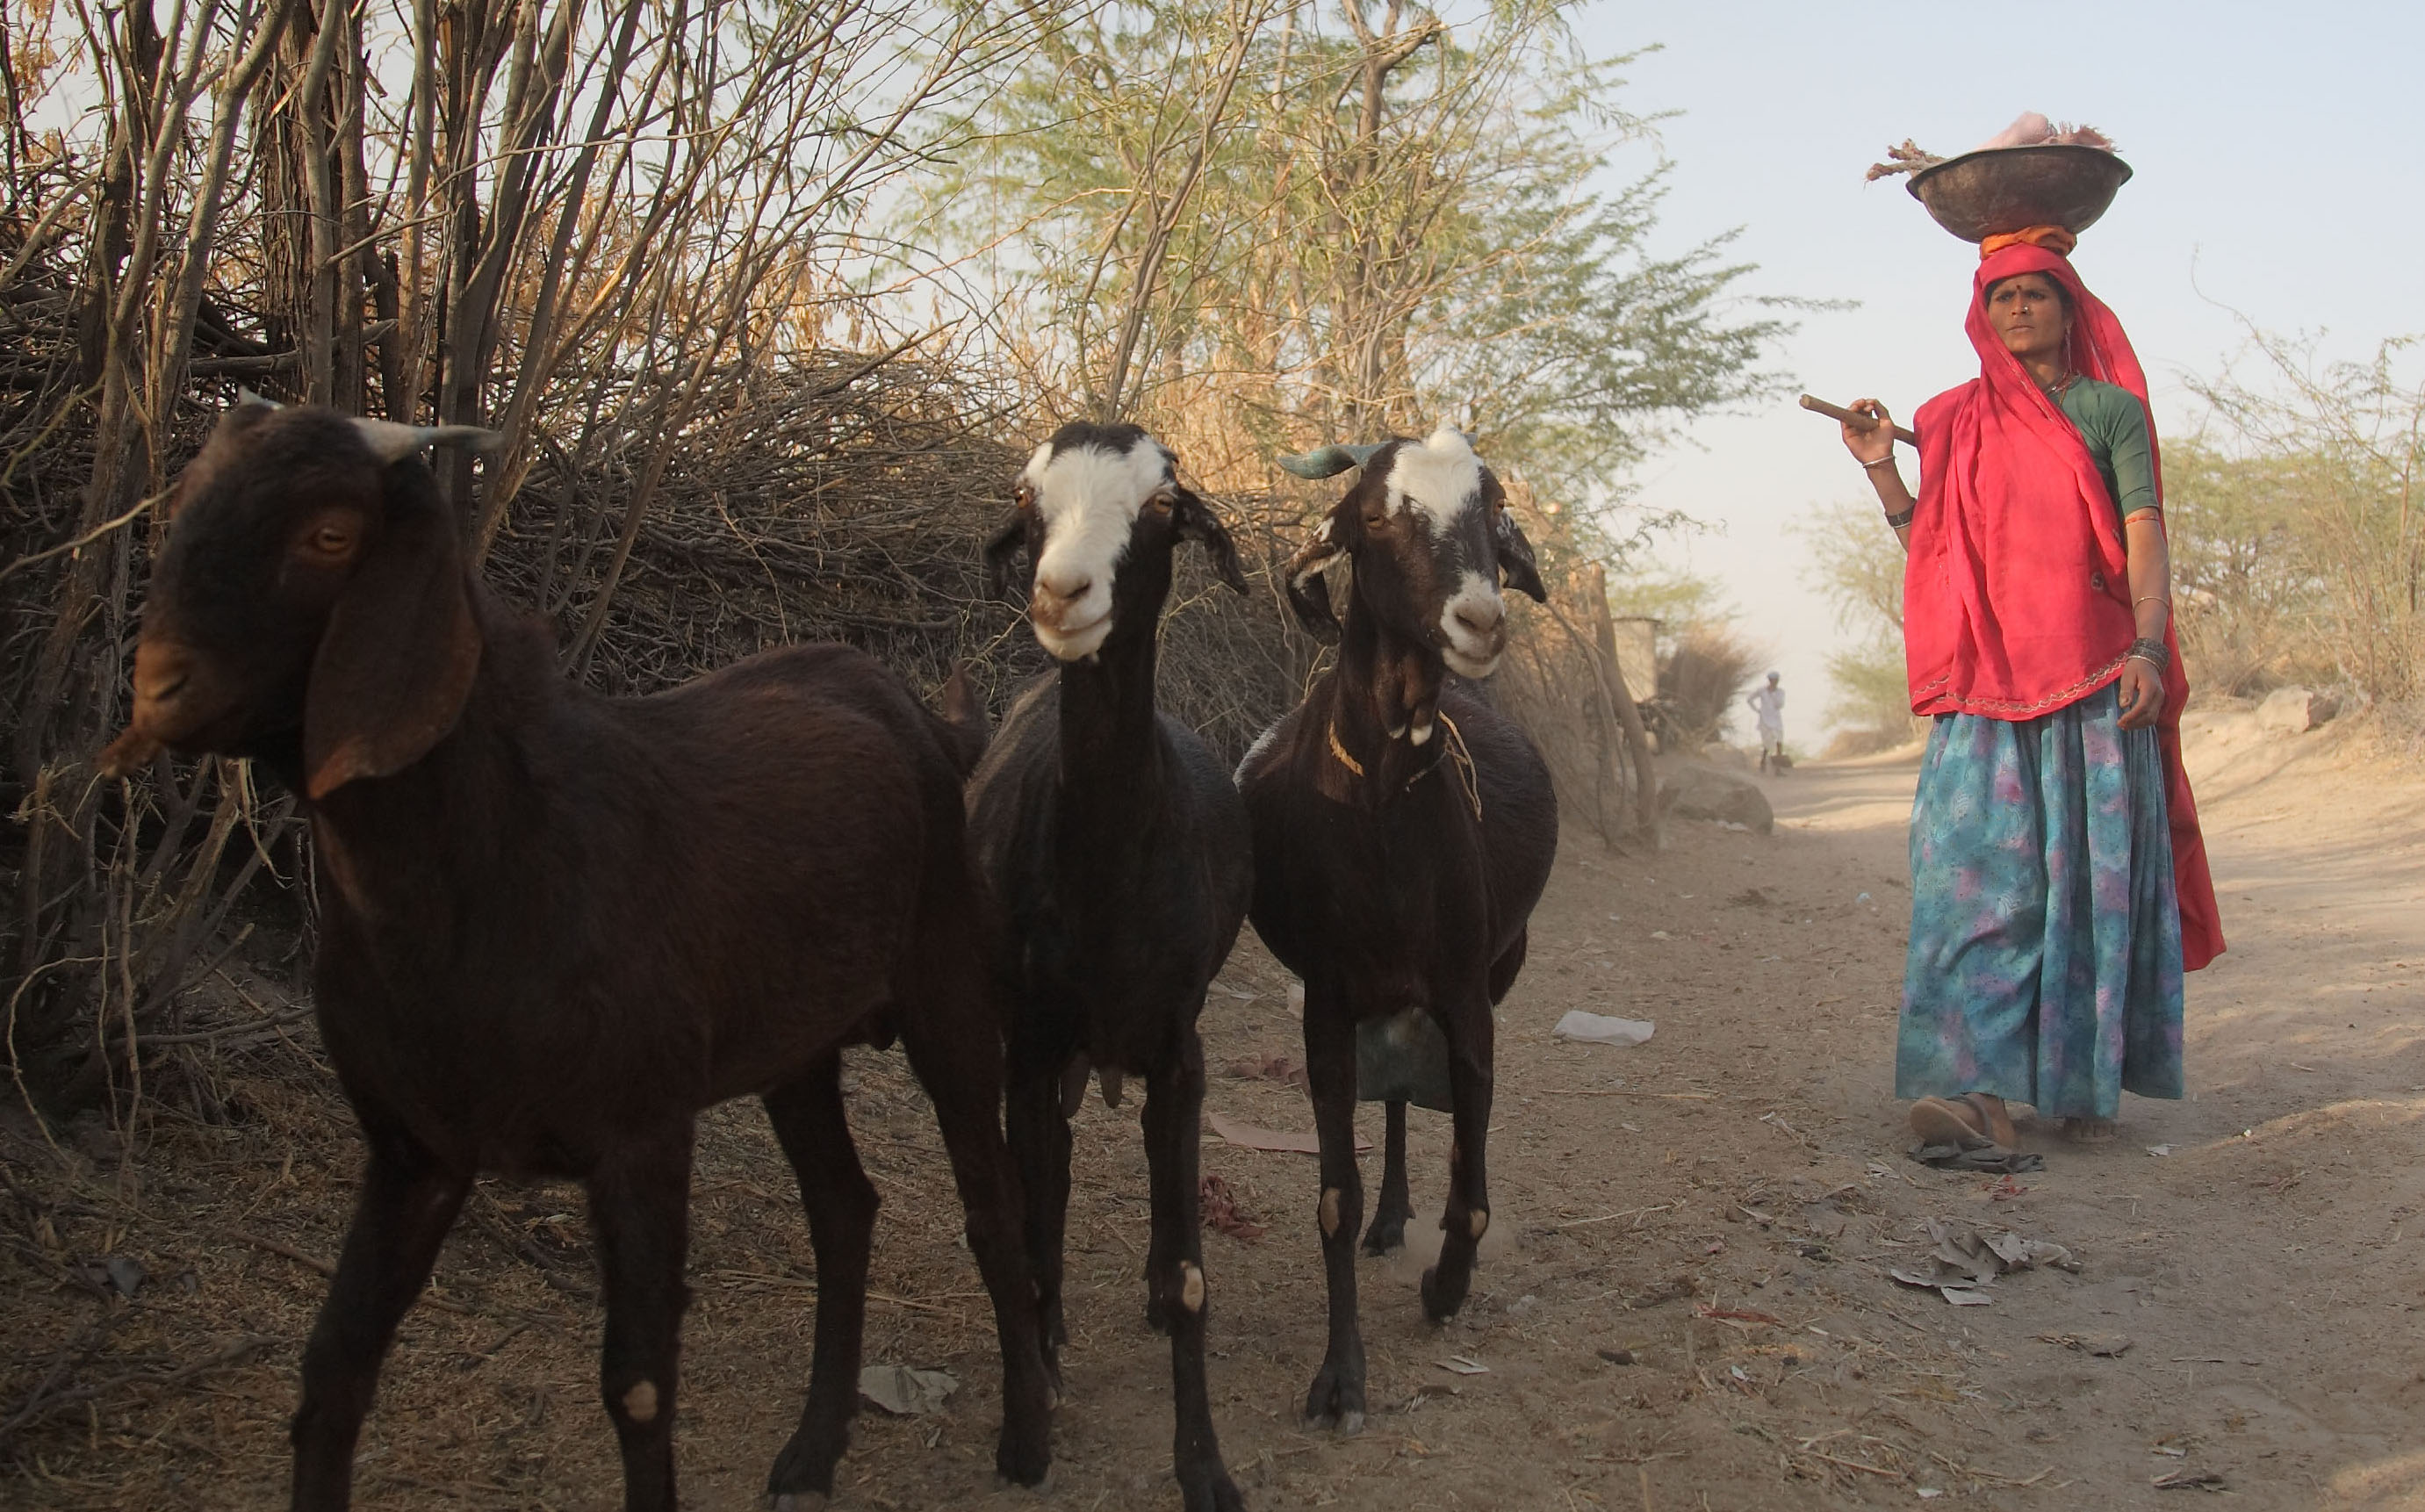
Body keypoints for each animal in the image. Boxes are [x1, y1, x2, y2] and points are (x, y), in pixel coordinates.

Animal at [99, 402, 1047, 1512]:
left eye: (330, 535)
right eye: (183, 502)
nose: (158, 687)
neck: (499, 861)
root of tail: (921, 715)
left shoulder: (640, 1130)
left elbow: (637, 1384)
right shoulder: (414, 1144)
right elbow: (333, 1370)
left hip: (949, 996)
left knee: (991, 1203)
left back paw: (1026, 1436)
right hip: (795, 1048)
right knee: (843, 1208)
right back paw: (812, 1451)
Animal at [969, 421, 1261, 1512]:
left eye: (1164, 506)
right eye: (1026, 495)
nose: (1062, 594)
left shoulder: (1182, 1051)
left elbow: (1190, 1271)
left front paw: (1205, 1467)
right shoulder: (1024, 1045)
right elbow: (1023, 1231)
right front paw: (1026, 1432)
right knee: (1045, 1183)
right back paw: (1049, 1348)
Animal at [1241, 429, 1561, 1446]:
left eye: (1492, 512)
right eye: (1375, 519)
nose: (1480, 620)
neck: (1379, 802)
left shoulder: (1463, 990)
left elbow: (1473, 1169)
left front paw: (1446, 1287)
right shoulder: (1326, 1002)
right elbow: (1331, 1199)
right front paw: (1340, 1377)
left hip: (1487, 975)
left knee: (1438, 1120)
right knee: (1387, 1107)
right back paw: (1390, 1218)